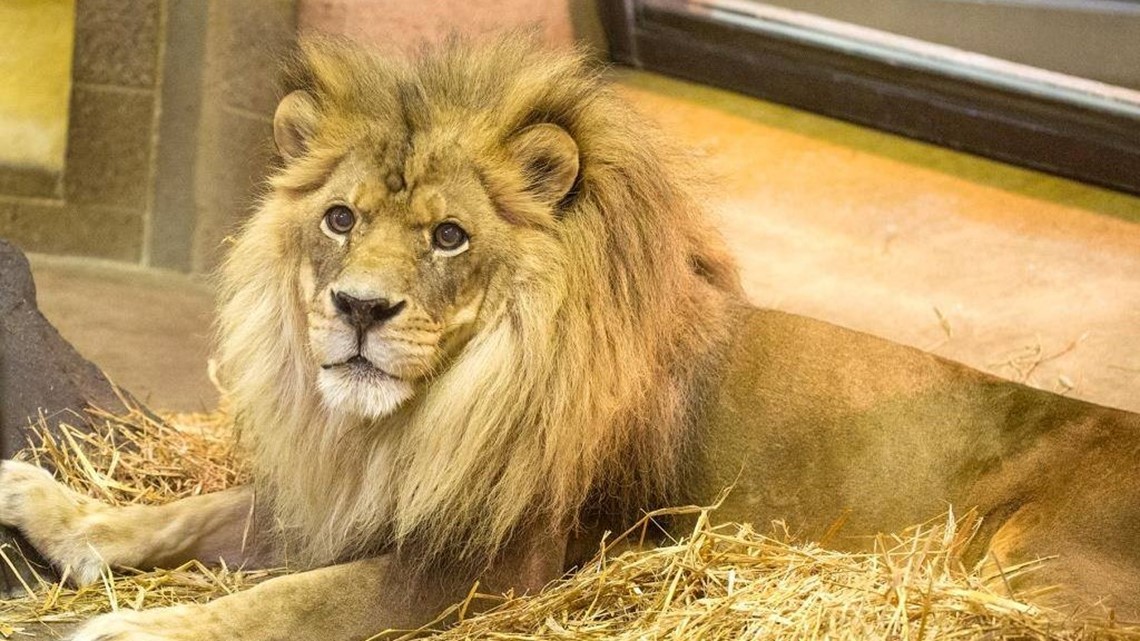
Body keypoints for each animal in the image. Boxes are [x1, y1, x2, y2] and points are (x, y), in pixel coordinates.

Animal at [1, 35, 1138, 640]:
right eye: (340, 219)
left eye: (449, 236)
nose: (358, 309)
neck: (417, 419)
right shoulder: (352, 496)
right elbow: (193, 513)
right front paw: (53, 507)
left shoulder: (489, 560)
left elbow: (286, 602)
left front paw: (126, 624)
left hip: (1028, 559)